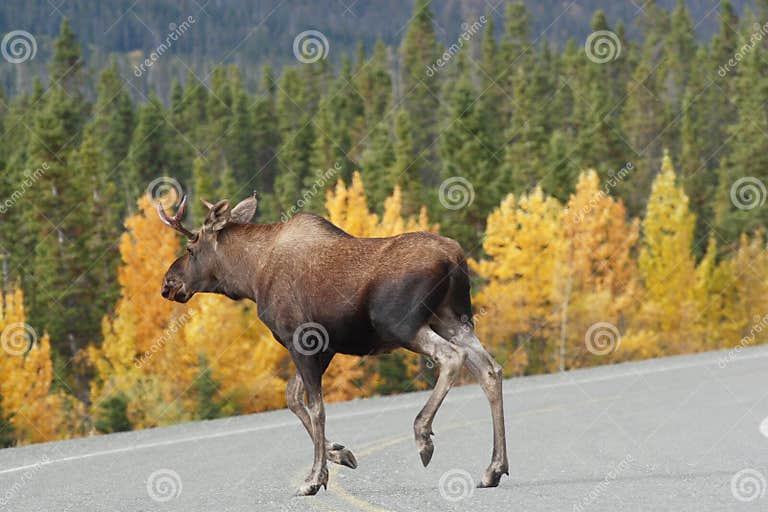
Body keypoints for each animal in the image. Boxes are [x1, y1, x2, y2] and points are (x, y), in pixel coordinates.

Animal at [157, 193, 508, 496]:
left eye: (190, 248)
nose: (168, 284)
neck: (251, 278)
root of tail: (455, 258)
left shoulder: (303, 339)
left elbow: (315, 407)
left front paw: (314, 478)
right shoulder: (325, 347)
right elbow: (293, 397)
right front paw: (340, 452)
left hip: (404, 324)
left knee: (452, 357)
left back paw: (423, 435)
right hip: (454, 319)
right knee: (490, 369)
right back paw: (493, 469)